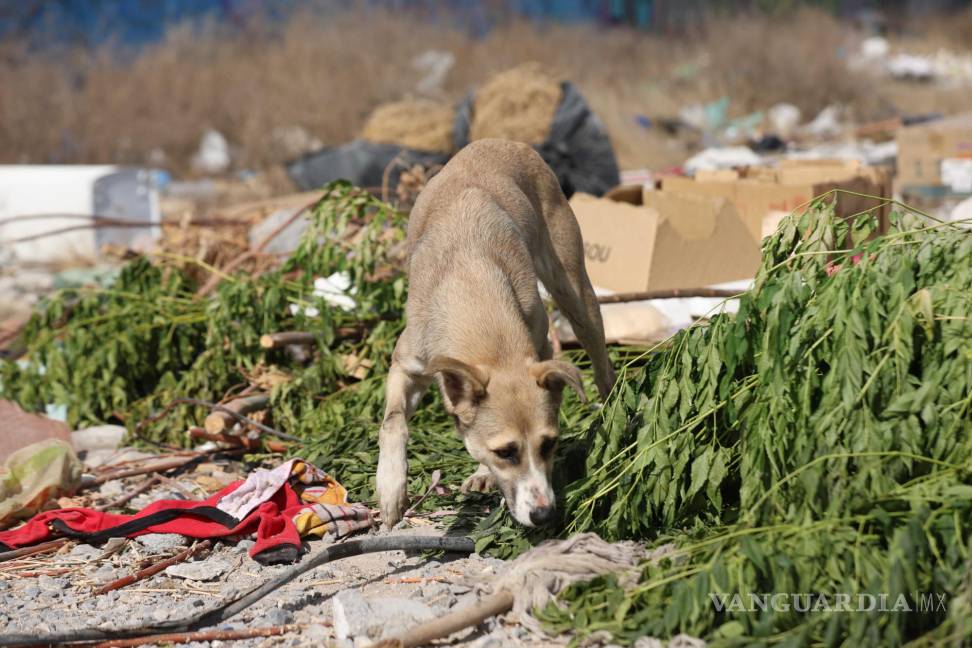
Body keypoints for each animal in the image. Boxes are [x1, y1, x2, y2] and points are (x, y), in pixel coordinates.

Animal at [374, 139, 612, 528]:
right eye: (506, 452)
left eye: (549, 444)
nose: (544, 515)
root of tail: (504, 141)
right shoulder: (407, 363)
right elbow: (393, 423)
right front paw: (392, 492)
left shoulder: (539, 346)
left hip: (575, 292)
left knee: (602, 363)